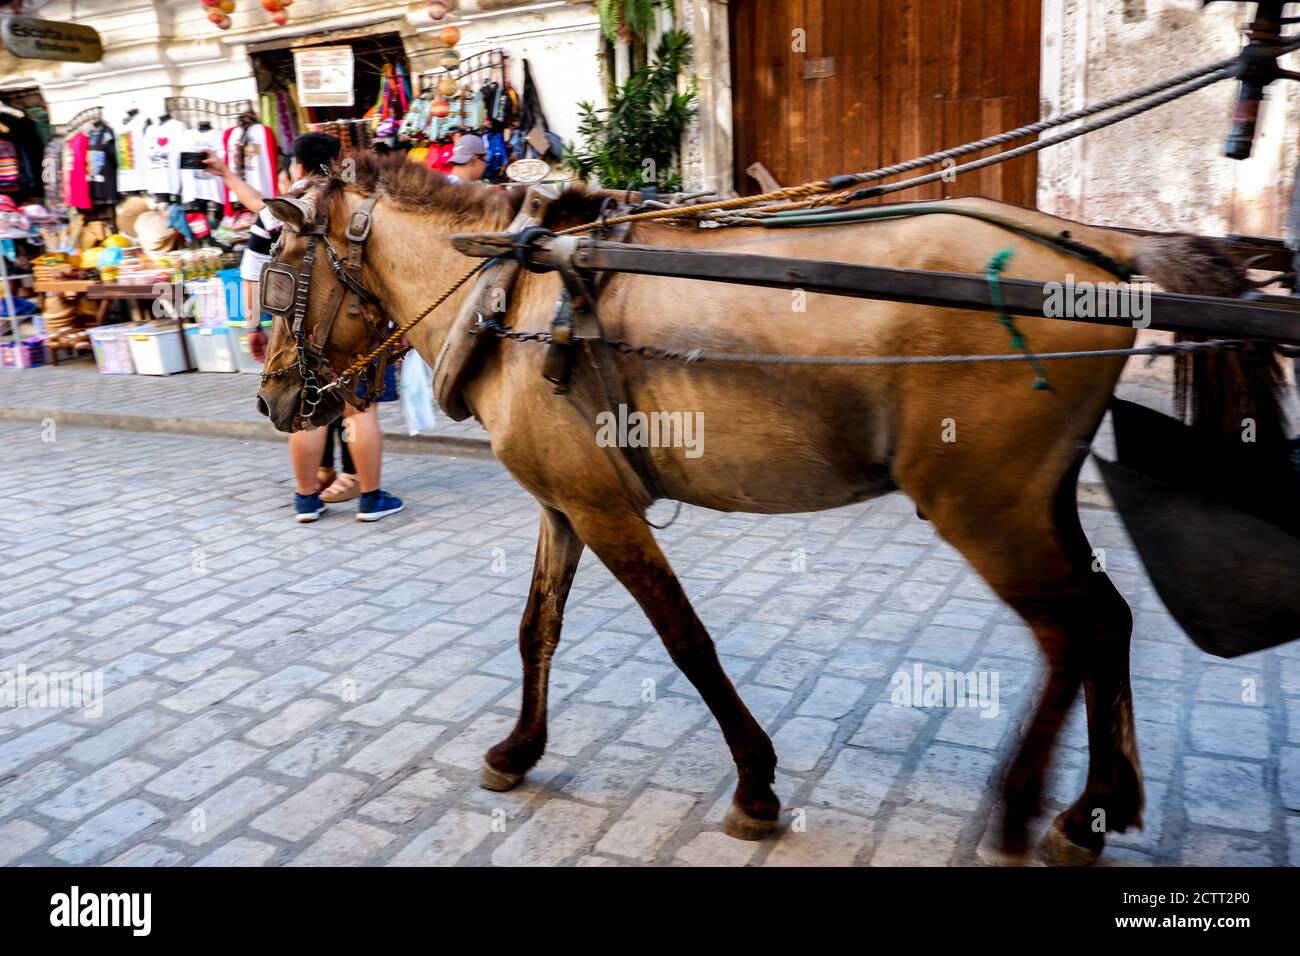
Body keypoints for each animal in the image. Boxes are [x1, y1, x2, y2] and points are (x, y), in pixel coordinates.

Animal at [256, 153, 1289, 863]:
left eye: (277, 275)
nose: (270, 400)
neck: (511, 287)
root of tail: (1098, 252)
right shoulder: (568, 503)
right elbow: (535, 630)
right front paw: (518, 750)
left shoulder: (607, 512)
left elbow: (686, 641)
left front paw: (754, 783)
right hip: (1036, 503)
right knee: (1106, 620)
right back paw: (1095, 809)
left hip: (985, 509)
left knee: (1069, 633)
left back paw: (1030, 807)